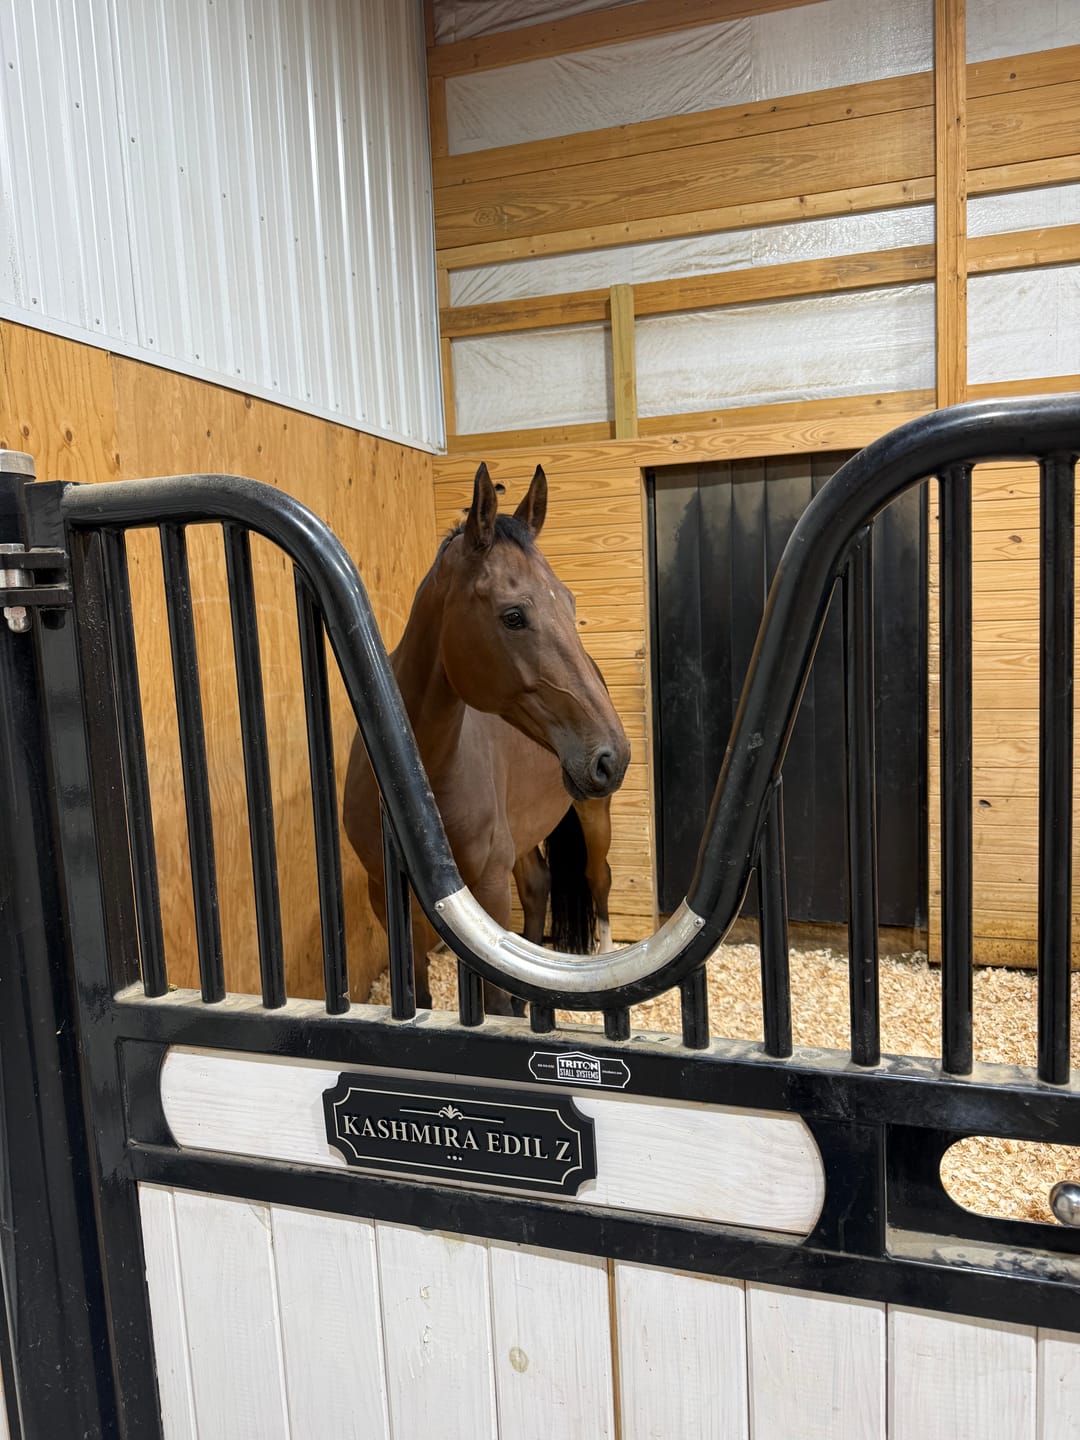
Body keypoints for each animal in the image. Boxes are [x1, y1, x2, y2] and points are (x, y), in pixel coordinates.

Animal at [343, 461, 630, 1015]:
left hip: (591, 812)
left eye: (570, 603)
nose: (613, 755)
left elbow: (493, 1002)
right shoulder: (382, 891)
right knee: (538, 886)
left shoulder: (490, 889)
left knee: (597, 879)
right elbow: (420, 988)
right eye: (513, 615)